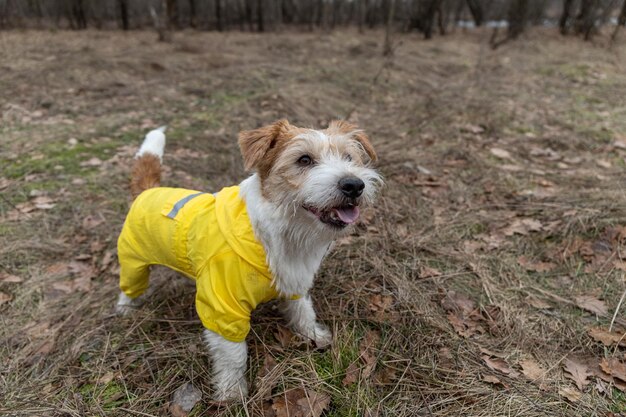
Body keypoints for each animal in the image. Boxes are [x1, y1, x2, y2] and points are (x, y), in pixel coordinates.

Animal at [116, 119, 380, 400]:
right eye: (304, 159)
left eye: (349, 157)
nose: (354, 185)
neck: (279, 232)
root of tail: (148, 190)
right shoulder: (223, 307)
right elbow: (233, 354)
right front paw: (232, 391)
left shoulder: (295, 280)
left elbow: (303, 311)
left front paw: (314, 335)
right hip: (133, 261)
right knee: (129, 288)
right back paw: (124, 310)